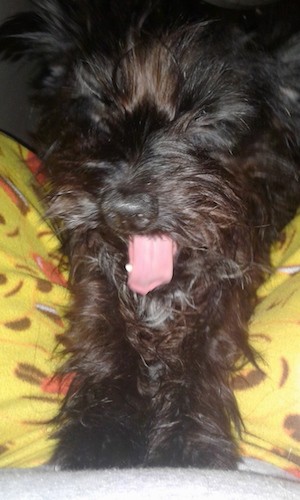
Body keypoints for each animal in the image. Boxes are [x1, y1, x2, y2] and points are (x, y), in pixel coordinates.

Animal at [0, 0, 300, 468]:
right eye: (98, 114)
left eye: (208, 118)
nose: (124, 211)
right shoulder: (95, 269)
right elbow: (105, 337)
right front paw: (103, 429)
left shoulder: (233, 276)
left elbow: (204, 352)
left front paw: (189, 437)